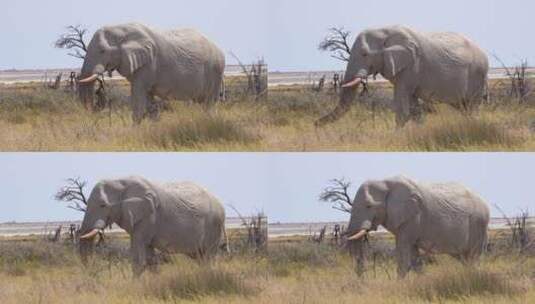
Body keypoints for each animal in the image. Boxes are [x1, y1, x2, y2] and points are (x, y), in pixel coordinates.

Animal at [77, 22, 224, 123]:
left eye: (102, 51)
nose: (92, 111)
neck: (120, 29)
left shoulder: (149, 63)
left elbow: (138, 97)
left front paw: (134, 133)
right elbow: (148, 101)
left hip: (216, 70)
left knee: (209, 103)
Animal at [78, 176, 226, 276]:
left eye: (103, 205)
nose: (91, 271)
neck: (120, 181)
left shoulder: (149, 216)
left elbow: (138, 258)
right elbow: (150, 259)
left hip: (214, 225)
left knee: (208, 257)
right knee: (201, 258)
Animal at [318, 24, 490, 127]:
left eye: (365, 54)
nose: (315, 124)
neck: (384, 32)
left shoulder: (412, 65)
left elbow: (402, 105)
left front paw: (397, 137)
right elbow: (414, 108)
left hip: (478, 73)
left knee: (473, 106)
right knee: (464, 107)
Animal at [348, 176, 490, 278]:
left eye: (368, 206)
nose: (363, 280)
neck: (385, 182)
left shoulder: (413, 216)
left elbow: (404, 255)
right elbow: (414, 259)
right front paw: (422, 281)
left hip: (478, 223)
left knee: (473, 257)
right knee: (465, 259)